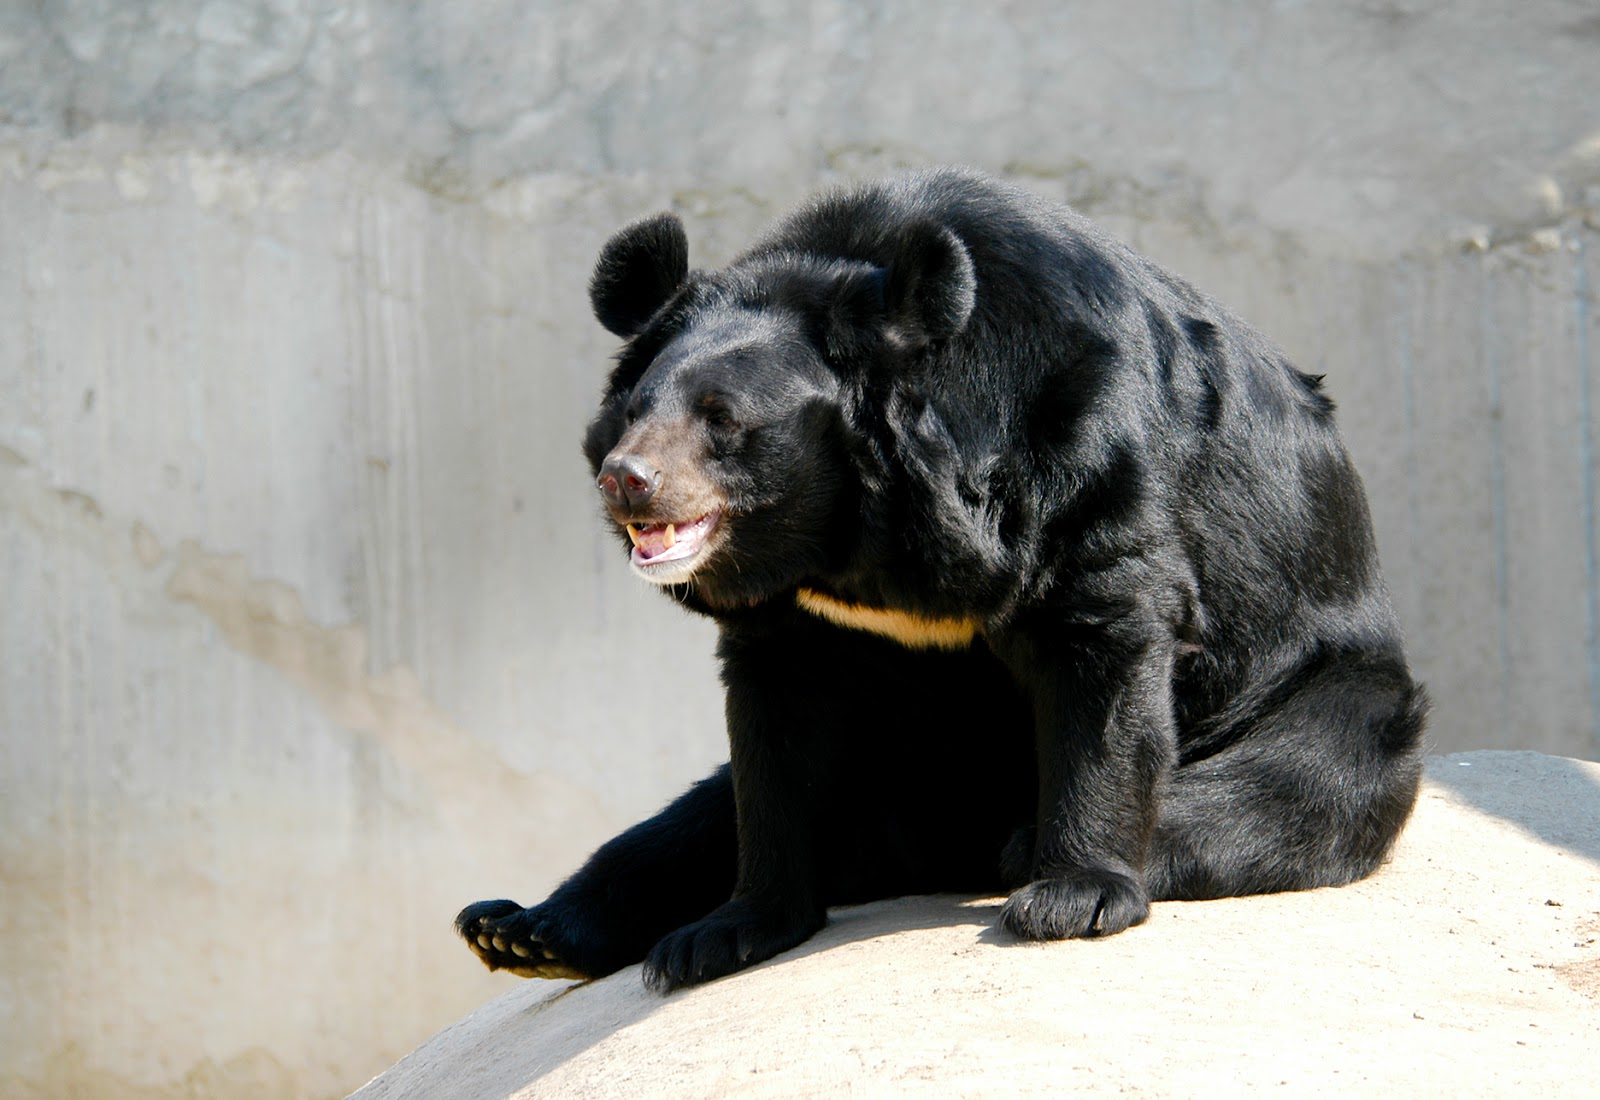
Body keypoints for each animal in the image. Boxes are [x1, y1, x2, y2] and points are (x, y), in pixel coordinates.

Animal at [456, 167, 1427, 993]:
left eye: (722, 419)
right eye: (633, 409)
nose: (626, 480)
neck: (852, 531)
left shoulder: (1074, 446)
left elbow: (1105, 642)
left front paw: (1074, 894)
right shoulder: (790, 618)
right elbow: (770, 748)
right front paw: (728, 930)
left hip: (1331, 687)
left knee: (1290, 780)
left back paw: (1024, 845)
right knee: (692, 818)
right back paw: (522, 929)